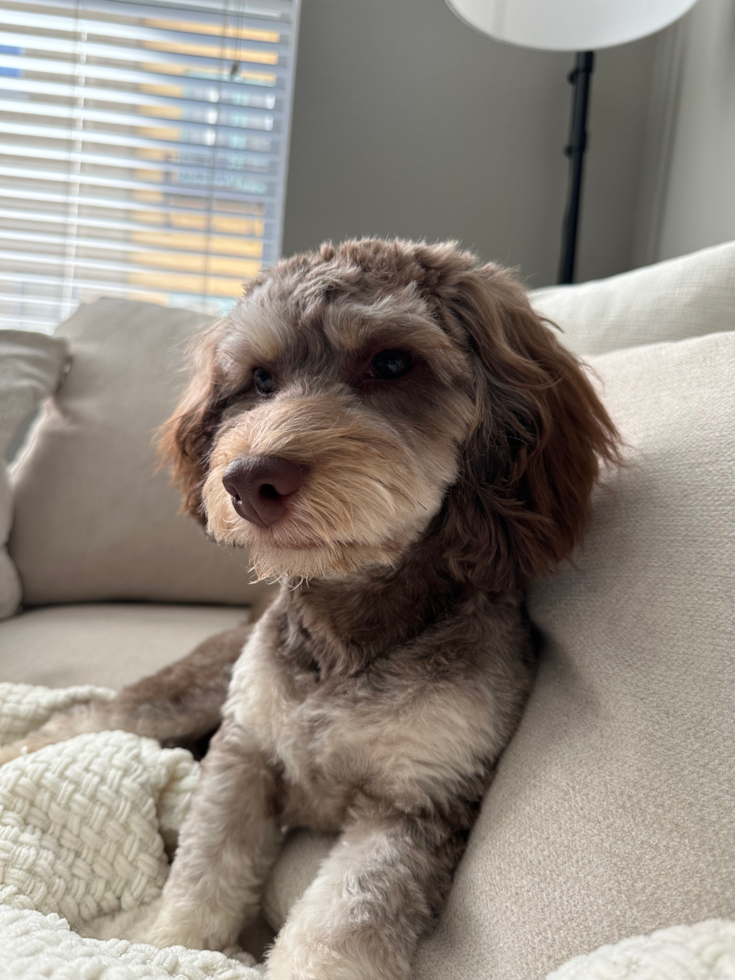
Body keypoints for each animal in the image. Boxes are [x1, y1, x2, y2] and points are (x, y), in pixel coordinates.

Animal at [0, 239, 620, 980]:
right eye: (260, 378)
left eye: (391, 363)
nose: (247, 480)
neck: (346, 624)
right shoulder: (245, 752)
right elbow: (202, 876)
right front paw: (170, 946)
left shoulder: (417, 799)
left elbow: (338, 924)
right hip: (180, 699)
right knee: (79, 719)